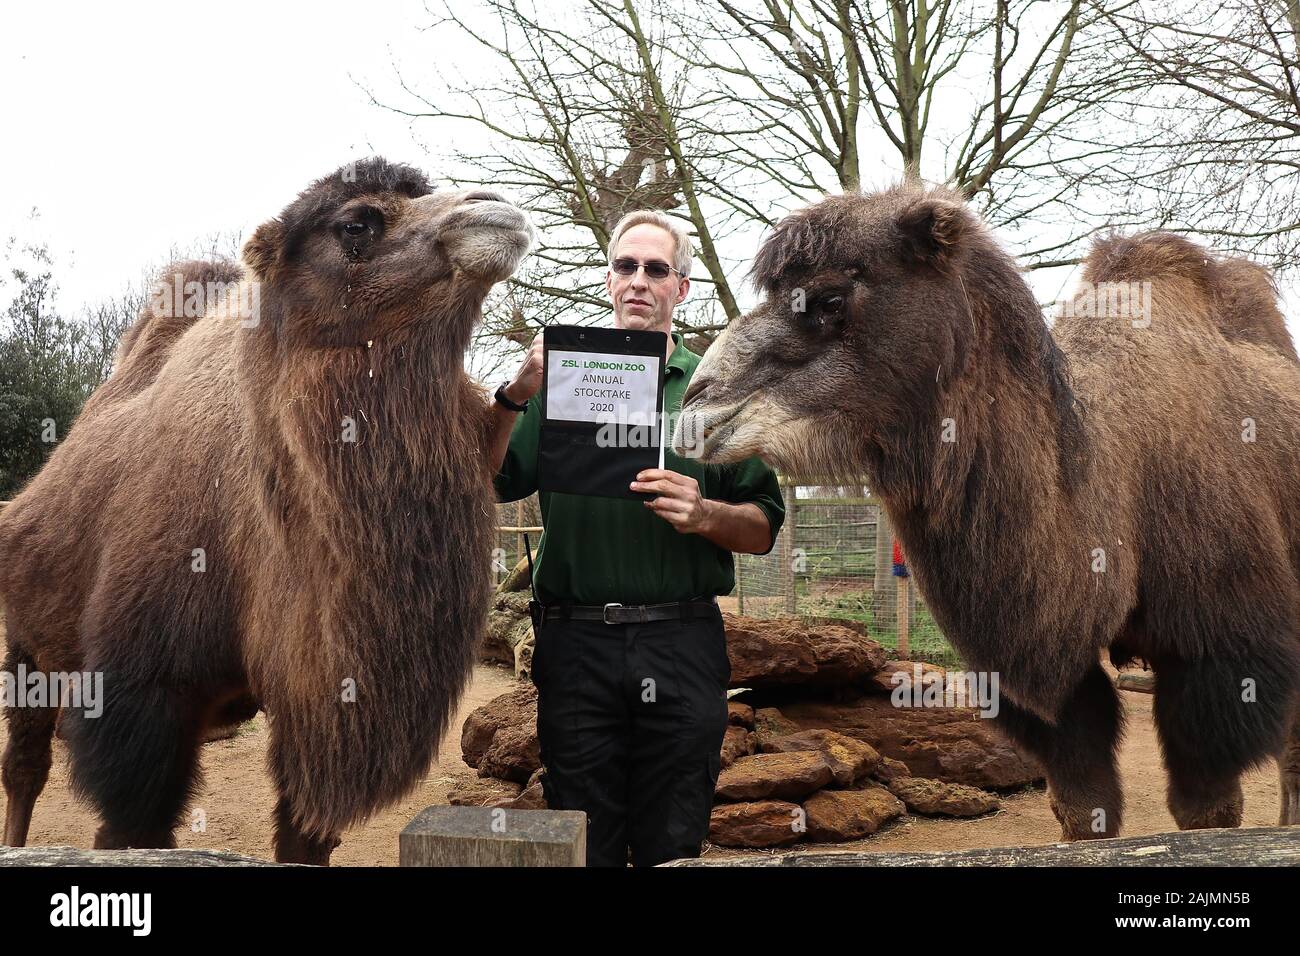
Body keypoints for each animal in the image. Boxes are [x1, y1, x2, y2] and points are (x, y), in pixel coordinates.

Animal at [0, 158, 530, 868]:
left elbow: (304, 835)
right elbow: (128, 831)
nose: (495, 210)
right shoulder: (142, 702)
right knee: (25, 762)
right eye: (356, 223)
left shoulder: (319, 704)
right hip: (28, 639)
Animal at [676, 183, 1300, 842]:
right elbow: (1083, 809)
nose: (694, 406)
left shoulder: (1222, 653)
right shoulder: (1044, 678)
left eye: (830, 299)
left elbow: (1208, 811)